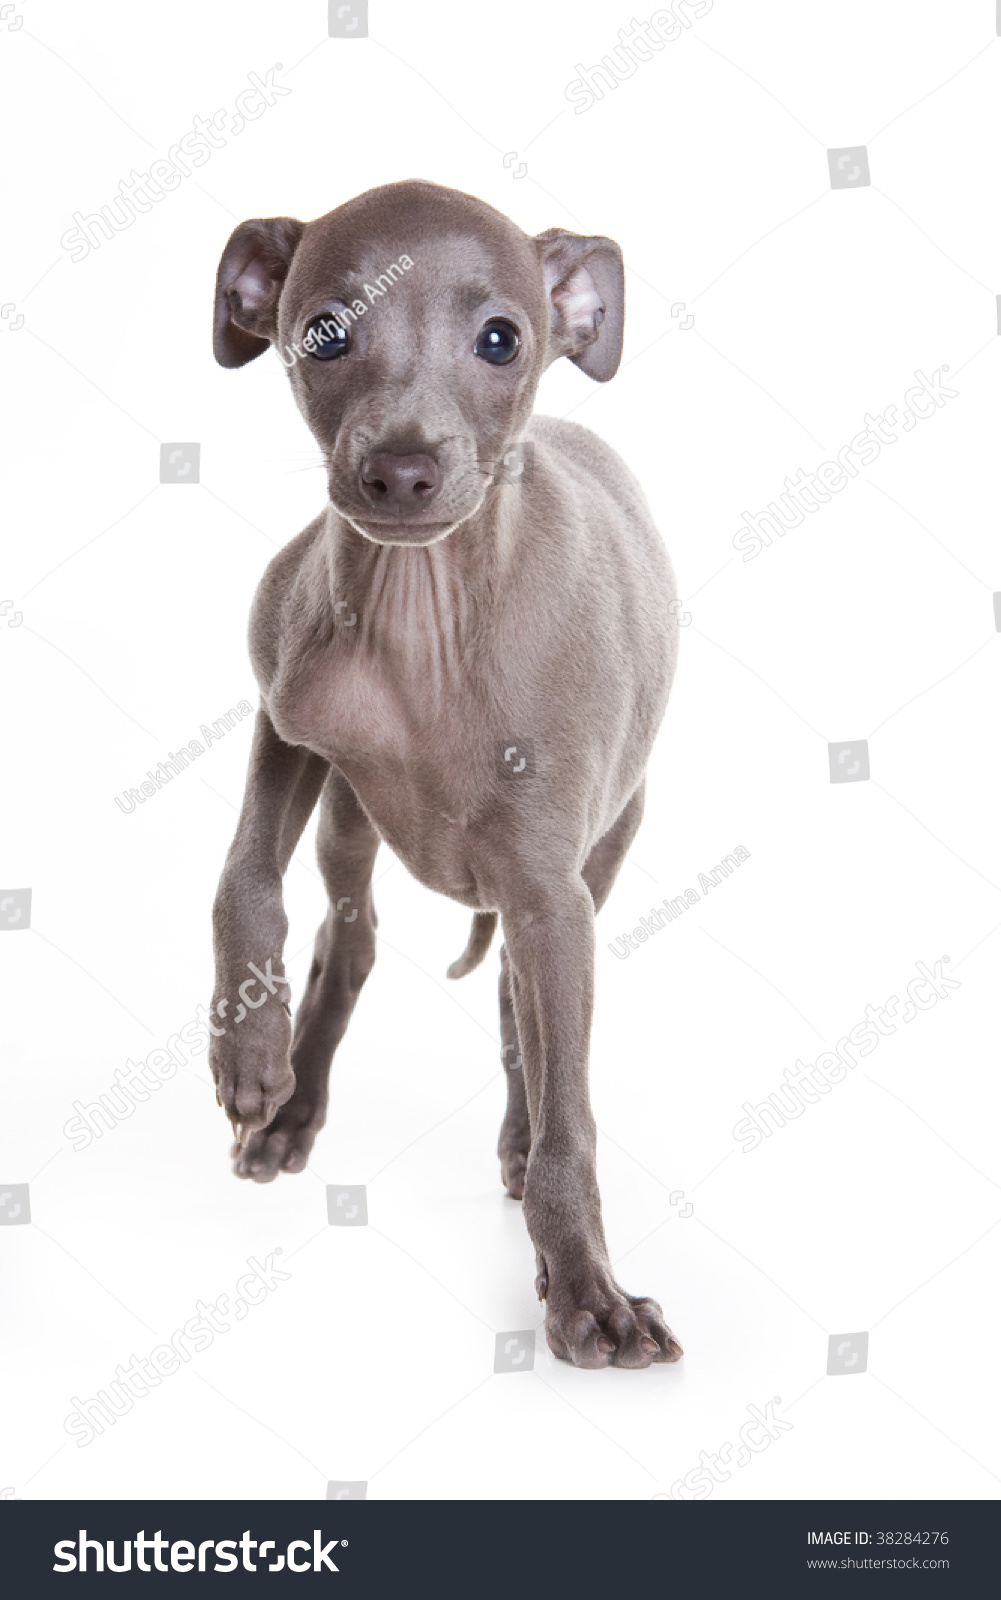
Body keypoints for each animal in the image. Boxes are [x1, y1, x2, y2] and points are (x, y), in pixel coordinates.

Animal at [207, 181, 681, 1369]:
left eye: (501, 339)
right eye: (324, 330)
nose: (401, 471)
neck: (424, 623)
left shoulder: (551, 898)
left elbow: (569, 1112)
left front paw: (587, 1292)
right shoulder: (288, 723)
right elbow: (242, 884)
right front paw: (248, 1056)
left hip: (584, 864)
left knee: (520, 1018)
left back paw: (517, 1151)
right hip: (347, 820)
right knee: (350, 939)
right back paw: (292, 1102)